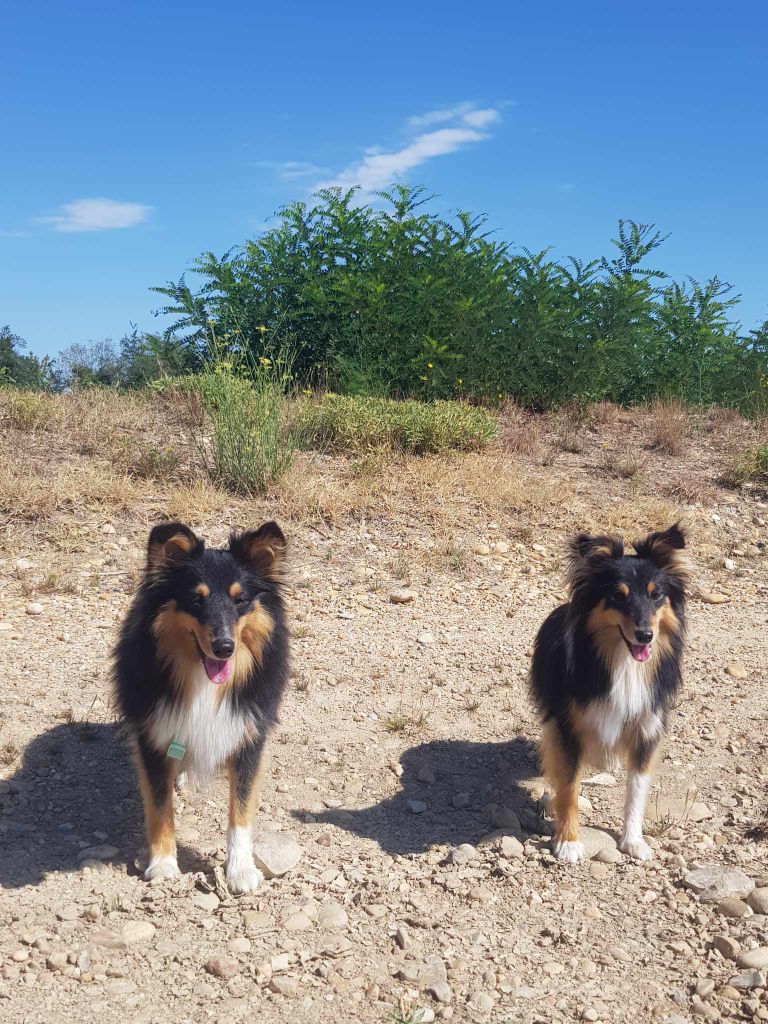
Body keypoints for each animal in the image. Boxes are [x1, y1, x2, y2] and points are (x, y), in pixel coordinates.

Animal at [115, 520, 290, 888]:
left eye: (241, 600)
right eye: (196, 599)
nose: (224, 648)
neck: (202, 681)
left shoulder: (248, 735)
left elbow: (241, 809)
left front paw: (241, 870)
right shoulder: (153, 734)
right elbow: (159, 807)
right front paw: (163, 865)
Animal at [532, 524, 688, 860]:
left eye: (656, 594)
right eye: (618, 596)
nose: (645, 635)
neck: (624, 662)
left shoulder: (647, 727)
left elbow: (636, 790)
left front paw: (633, 841)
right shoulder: (569, 726)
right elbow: (569, 787)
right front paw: (568, 842)